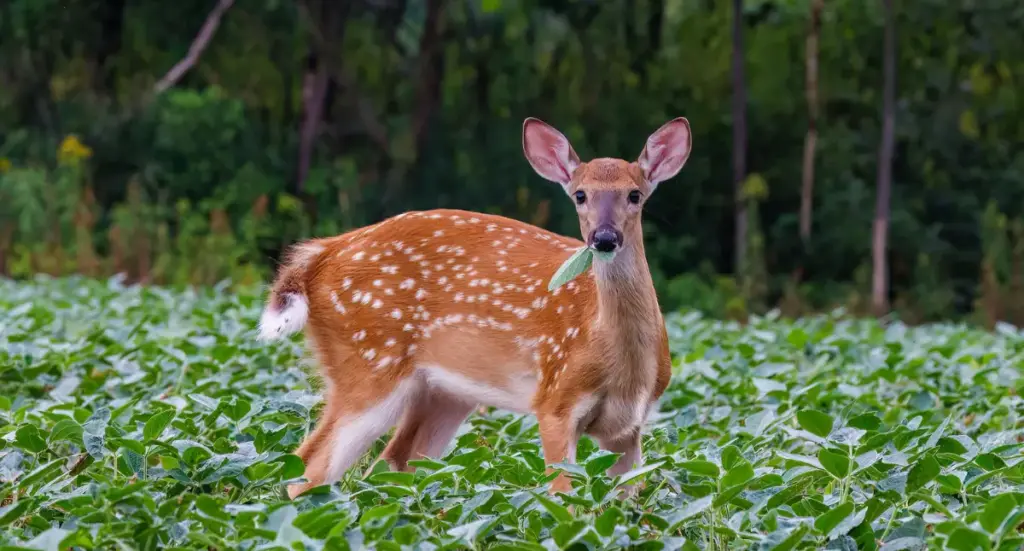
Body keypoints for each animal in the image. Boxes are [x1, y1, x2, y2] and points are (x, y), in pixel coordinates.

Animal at [257, 116, 692, 500]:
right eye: (580, 194)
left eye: (634, 195)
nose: (603, 238)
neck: (621, 364)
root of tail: (320, 255)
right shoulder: (555, 399)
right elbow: (563, 499)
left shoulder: (630, 427)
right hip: (369, 362)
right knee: (310, 467)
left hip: (443, 393)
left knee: (388, 466)